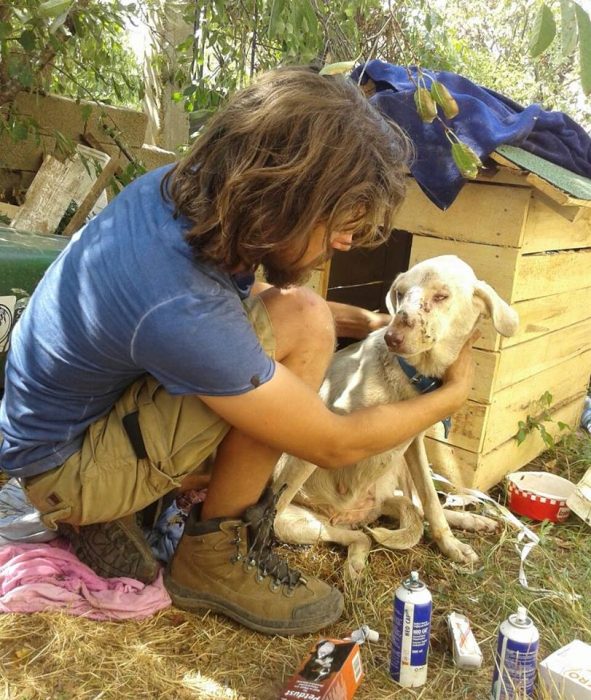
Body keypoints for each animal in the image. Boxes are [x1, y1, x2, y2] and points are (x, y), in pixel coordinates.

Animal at [272, 254, 520, 576]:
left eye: (441, 296)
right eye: (400, 293)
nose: (392, 336)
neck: (411, 376)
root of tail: (358, 513)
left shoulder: (413, 441)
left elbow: (430, 500)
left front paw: (451, 545)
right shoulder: (325, 432)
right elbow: (275, 503)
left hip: (398, 467)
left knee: (412, 507)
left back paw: (473, 521)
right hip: (307, 523)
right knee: (356, 535)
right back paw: (354, 563)